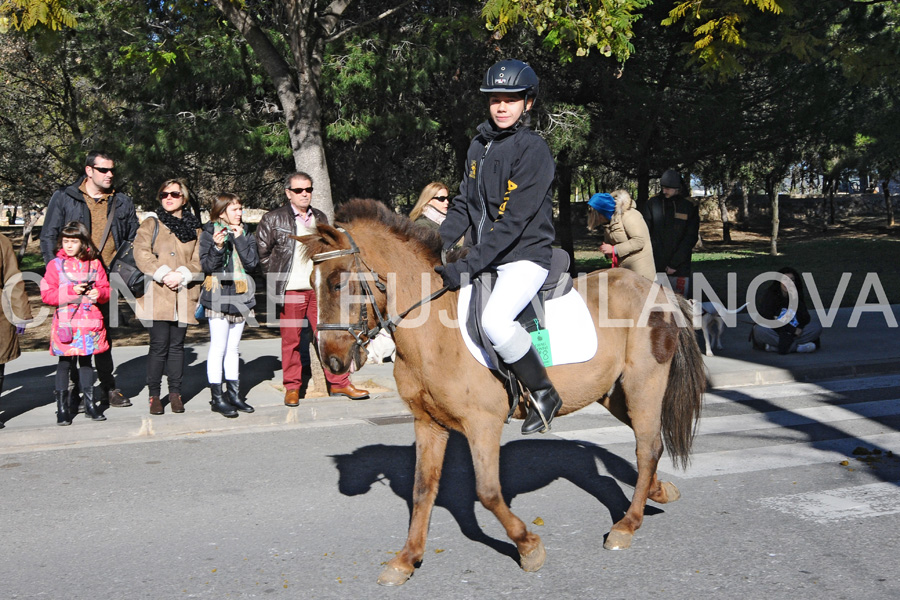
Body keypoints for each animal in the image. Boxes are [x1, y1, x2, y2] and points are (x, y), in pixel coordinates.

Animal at [298, 199, 708, 584]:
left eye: (337, 283)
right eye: (312, 284)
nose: (332, 361)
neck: (433, 328)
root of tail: (656, 290)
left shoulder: (483, 424)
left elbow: (488, 492)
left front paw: (528, 546)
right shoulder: (428, 423)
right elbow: (422, 490)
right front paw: (405, 560)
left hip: (644, 386)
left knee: (647, 447)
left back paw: (627, 524)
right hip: (614, 394)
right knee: (648, 445)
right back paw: (658, 491)